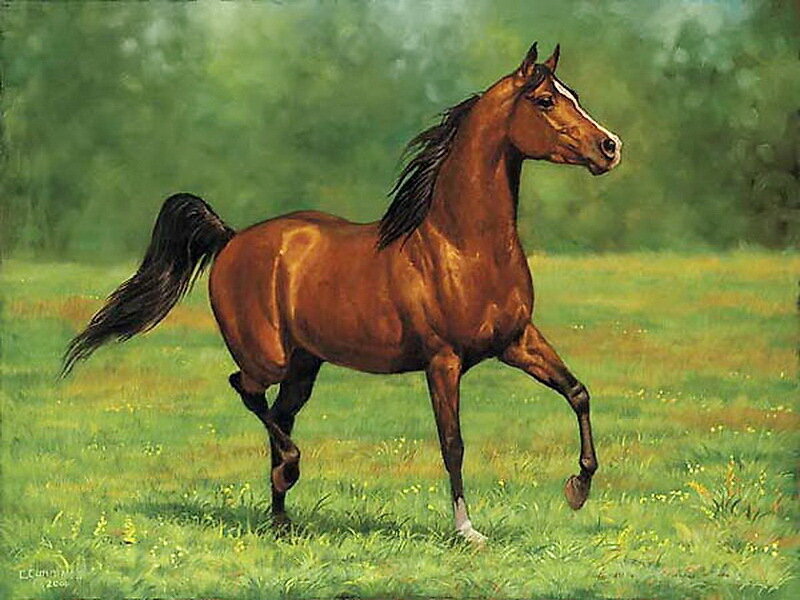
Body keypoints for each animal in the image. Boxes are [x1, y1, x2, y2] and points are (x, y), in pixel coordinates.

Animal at [62, 42, 621, 543]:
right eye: (544, 100)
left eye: (573, 95)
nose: (611, 147)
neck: (461, 244)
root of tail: (232, 238)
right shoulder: (443, 360)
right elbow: (453, 442)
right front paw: (467, 531)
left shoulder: (516, 341)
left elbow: (578, 392)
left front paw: (578, 488)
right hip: (268, 358)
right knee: (247, 391)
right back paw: (289, 473)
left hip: (304, 364)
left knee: (279, 414)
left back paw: (282, 518)